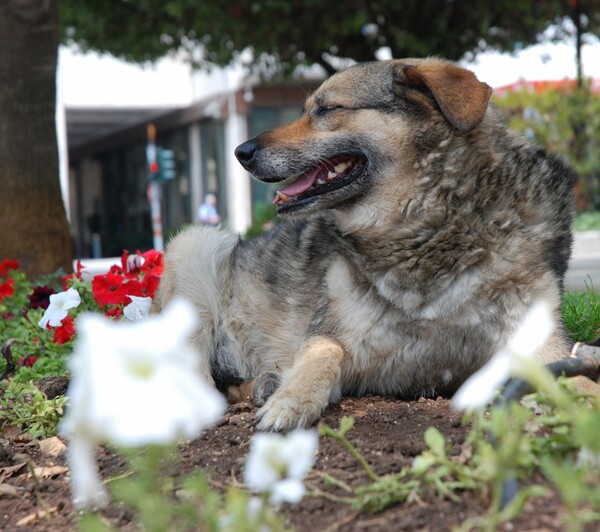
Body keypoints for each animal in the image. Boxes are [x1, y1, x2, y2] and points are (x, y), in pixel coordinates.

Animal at [152, 58, 584, 432]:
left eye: (327, 109)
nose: (241, 152)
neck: (425, 233)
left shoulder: (542, 347)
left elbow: (576, 379)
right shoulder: (333, 337)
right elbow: (323, 353)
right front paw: (291, 401)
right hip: (195, 244)